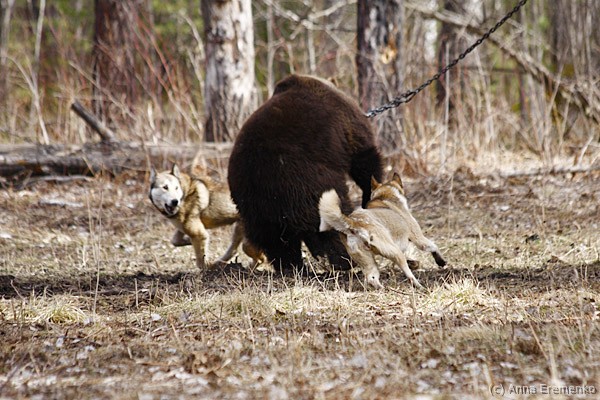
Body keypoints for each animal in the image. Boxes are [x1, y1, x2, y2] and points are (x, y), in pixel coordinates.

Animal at [227, 74, 383, 270]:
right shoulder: (348, 121)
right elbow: (365, 158)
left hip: (255, 208)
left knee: (277, 241)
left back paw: (291, 266)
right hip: (309, 187)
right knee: (332, 222)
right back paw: (346, 259)